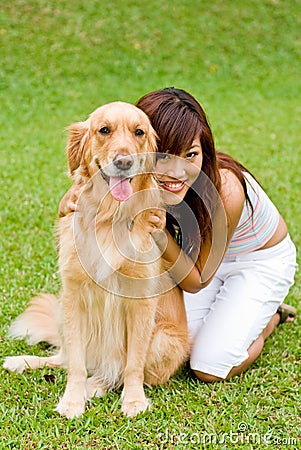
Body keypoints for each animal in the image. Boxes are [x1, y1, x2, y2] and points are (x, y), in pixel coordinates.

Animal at [2, 102, 188, 418]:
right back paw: (23, 362)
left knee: (113, 370)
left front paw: (133, 401)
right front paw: (72, 400)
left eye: (139, 132)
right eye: (104, 130)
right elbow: (76, 363)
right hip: (61, 311)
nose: (124, 161)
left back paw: (96, 385)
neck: (109, 216)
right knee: (64, 358)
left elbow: (133, 365)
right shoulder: (73, 295)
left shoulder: (141, 299)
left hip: (165, 338)